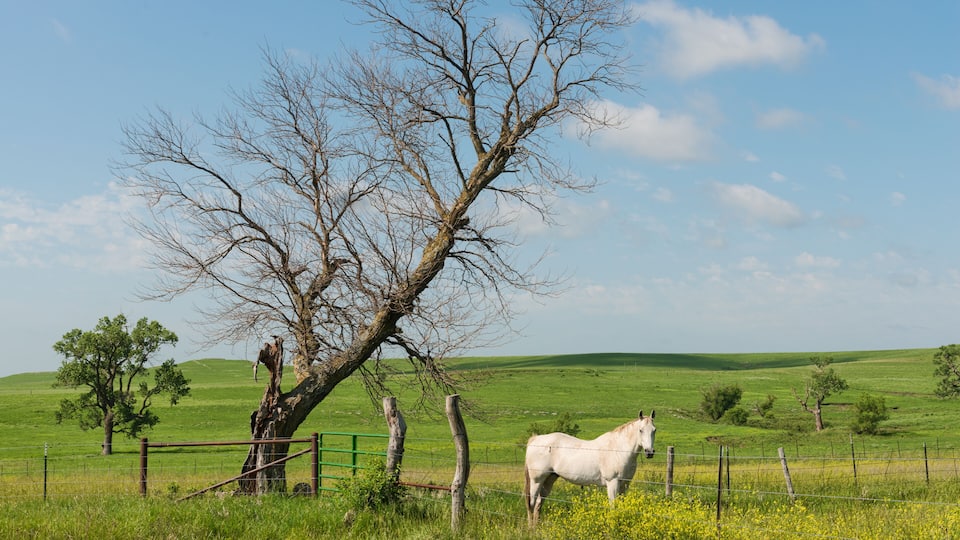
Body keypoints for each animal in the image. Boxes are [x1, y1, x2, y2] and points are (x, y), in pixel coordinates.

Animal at [523, 410, 656, 527]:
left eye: (654, 430)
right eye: (641, 430)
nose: (649, 452)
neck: (618, 450)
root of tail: (535, 439)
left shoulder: (625, 484)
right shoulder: (612, 483)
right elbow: (613, 507)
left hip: (549, 479)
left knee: (539, 504)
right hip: (537, 481)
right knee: (532, 503)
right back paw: (531, 529)